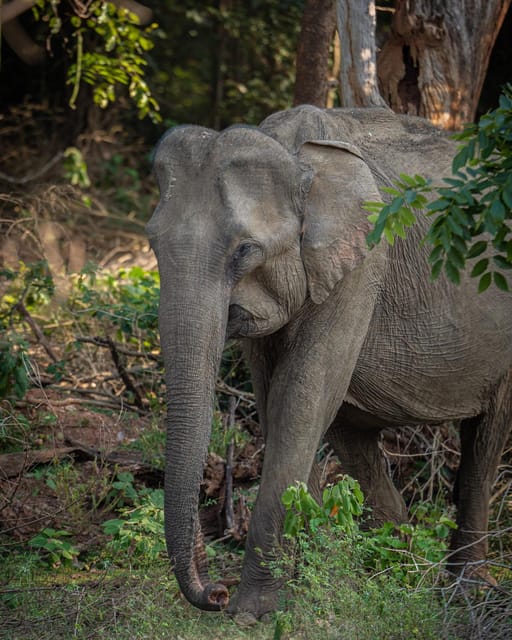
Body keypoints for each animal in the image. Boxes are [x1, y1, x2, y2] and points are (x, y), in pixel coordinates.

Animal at [147, 105, 512, 620]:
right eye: (152, 244)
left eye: (246, 251)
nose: (215, 593)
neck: (294, 154)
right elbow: (277, 402)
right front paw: (297, 591)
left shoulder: (365, 260)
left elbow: (300, 395)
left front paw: (253, 611)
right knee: (352, 435)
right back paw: (396, 570)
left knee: (485, 441)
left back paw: (467, 591)